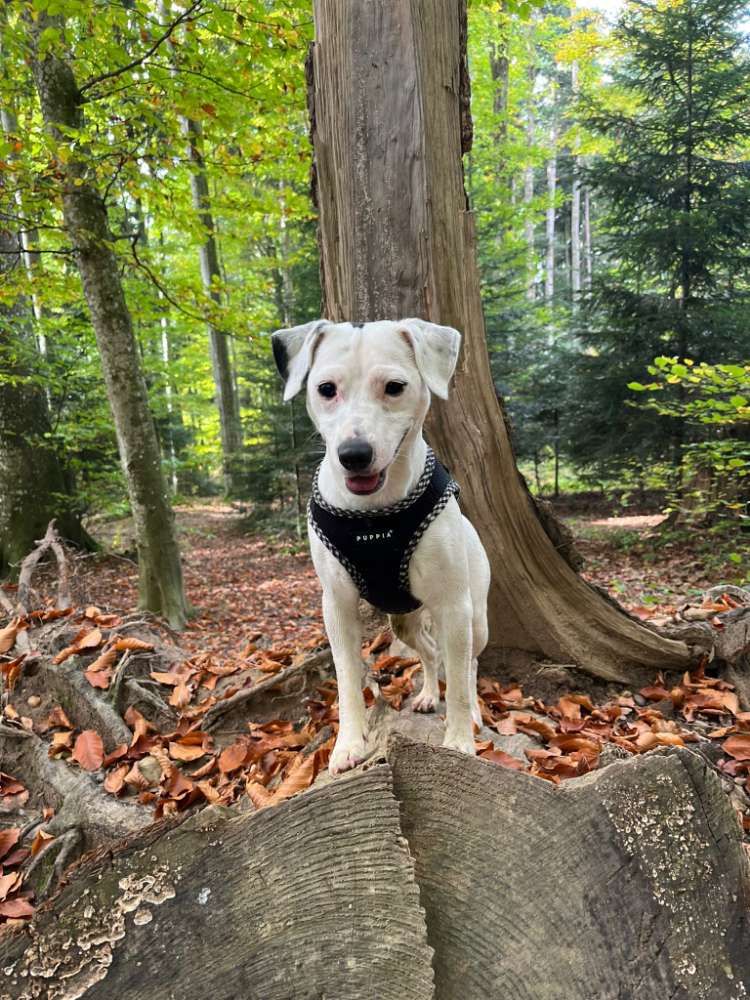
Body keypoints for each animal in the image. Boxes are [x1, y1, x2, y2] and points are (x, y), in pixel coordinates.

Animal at [274, 318, 490, 772]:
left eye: (394, 387)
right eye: (326, 388)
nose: (354, 454)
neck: (374, 514)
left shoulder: (453, 604)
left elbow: (461, 682)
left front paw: (459, 741)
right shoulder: (336, 606)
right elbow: (346, 679)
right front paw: (347, 744)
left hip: (474, 615)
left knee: (469, 663)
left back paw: (475, 713)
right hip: (403, 620)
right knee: (430, 650)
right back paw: (428, 694)